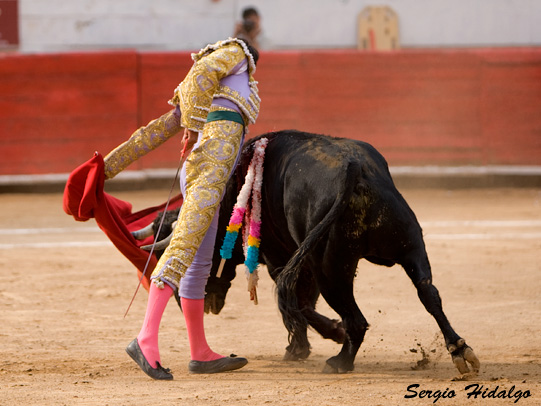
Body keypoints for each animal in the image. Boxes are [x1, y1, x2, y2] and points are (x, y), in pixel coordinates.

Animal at [147, 129, 476, 374]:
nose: (196, 306)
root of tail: (355, 169)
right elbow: (302, 302)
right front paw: (304, 345)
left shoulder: (281, 261)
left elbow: (296, 304)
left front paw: (305, 345)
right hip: (409, 246)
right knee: (428, 293)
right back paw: (460, 350)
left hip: (331, 268)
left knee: (354, 318)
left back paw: (341, 360)